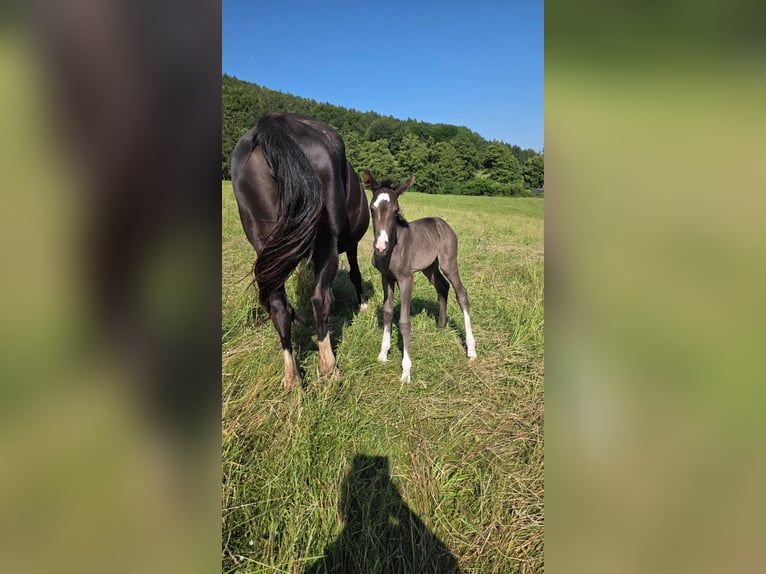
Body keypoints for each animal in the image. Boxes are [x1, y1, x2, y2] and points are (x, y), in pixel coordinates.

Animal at [231, 113, 369, 390]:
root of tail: (274, 123)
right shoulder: (350, 245)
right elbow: (355, 274)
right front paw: (362, 303)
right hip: (327, 242)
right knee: (320, 300)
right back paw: (329, 367)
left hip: (265, 246)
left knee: (278, 308)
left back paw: (292, 377)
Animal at [363, 170, 476, 383]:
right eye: (372, 209)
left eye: (396, 211)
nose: (380, 247)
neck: (393, 248)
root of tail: (442, 223)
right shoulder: (386, 277)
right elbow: (388, 311)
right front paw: (383, 353)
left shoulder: (406, 279)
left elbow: (404, 322)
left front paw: (406, 371)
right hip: (429, 267)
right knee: (443, 287)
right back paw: (441, 326)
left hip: (448, 262)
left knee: (461, 293)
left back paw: (471, 349)